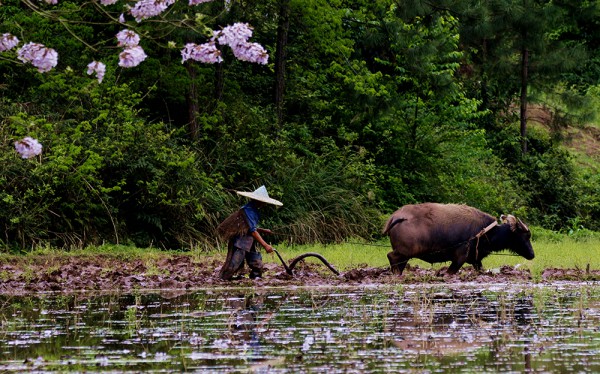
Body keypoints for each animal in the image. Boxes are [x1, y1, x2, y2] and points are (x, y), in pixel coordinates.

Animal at [382, 205, 532, 274]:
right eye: (526, 235)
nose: (532, 254)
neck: (485, 231)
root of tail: (396, 216)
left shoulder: (476, 260)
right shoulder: (460, 257)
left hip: (404, 255)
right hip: (404, 252)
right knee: (391, 256)